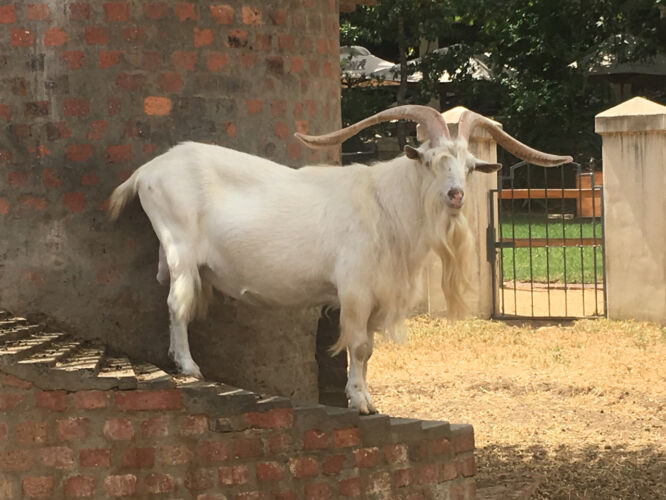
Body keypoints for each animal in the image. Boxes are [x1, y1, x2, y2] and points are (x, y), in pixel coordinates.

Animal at [109, 105, 571, 414]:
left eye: (471, 167)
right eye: (429, 160)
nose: (456, 195)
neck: (386, 205)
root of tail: (147, 172)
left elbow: (369, 351)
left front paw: (366, 396)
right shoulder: (355, 289)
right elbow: (359, 346)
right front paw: (360, 402)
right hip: (179, 246)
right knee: (177, 303)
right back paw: (188, 366)